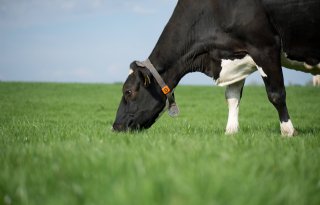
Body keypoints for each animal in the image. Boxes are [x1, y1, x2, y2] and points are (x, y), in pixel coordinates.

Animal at [112, 0, 320, 138]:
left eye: (128, 91)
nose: (115, 127)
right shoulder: (234, 57)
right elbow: (232, 98)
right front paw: (231, 132)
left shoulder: (265, 46)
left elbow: (276, 94)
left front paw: (288, 131)